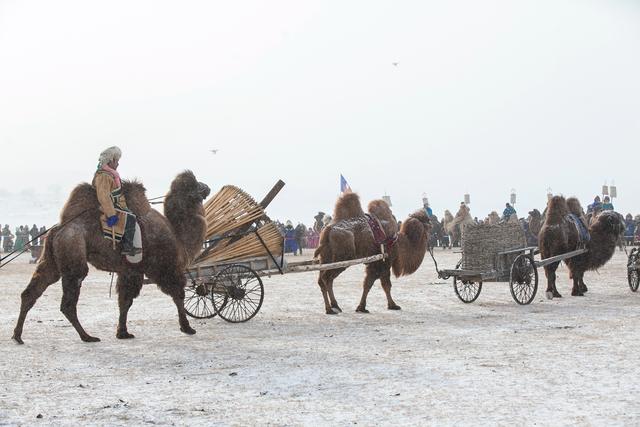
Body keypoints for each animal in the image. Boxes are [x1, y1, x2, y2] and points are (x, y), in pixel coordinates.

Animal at [11, 171, 210, 344]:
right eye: (195, 185)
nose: (207, 187)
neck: (178, 236)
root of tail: (58, 229)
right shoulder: (165, 267)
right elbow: (178, 295)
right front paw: (187, 328)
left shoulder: (130, 271)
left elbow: (125, 301)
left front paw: (123, 332)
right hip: (73, 253)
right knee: (67, 302)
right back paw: (87, 337)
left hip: (52, 259)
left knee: (31, 292)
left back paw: (17, 336)